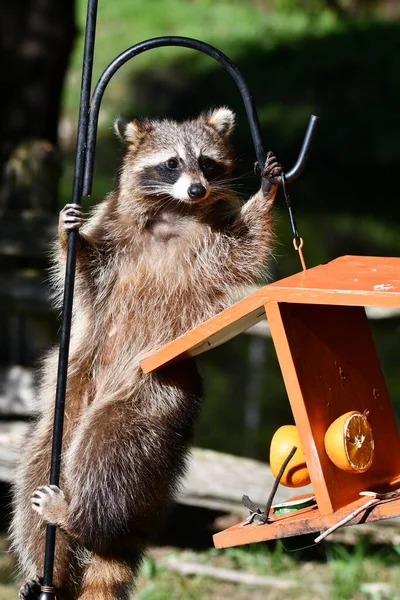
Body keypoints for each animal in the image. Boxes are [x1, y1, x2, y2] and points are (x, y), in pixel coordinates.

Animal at [11, 109, 282, 600]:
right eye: (172, 164)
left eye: (206, 163)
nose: (197, 189)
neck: (173, 212)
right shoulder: (113, 231)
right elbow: (86, 272)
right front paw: (66, 235)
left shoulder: (215, 246)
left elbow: (247, 244)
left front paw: (266, 194)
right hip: (71, 393)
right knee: (35, 468)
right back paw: (47, 567)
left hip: (152, 393)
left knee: (107, 456)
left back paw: (78, 519)